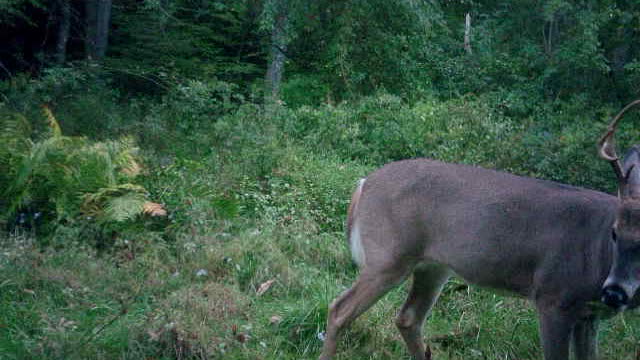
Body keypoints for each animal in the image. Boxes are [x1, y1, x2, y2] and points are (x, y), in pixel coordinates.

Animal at [322, 99, 640, 360]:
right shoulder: (553, 297)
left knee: (408, 318)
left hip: (433, 266)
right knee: (339, 309)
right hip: (389, 255)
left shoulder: (589, 315)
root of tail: (363, 183)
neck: (597, 257)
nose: (614, 292)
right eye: (614, 232)